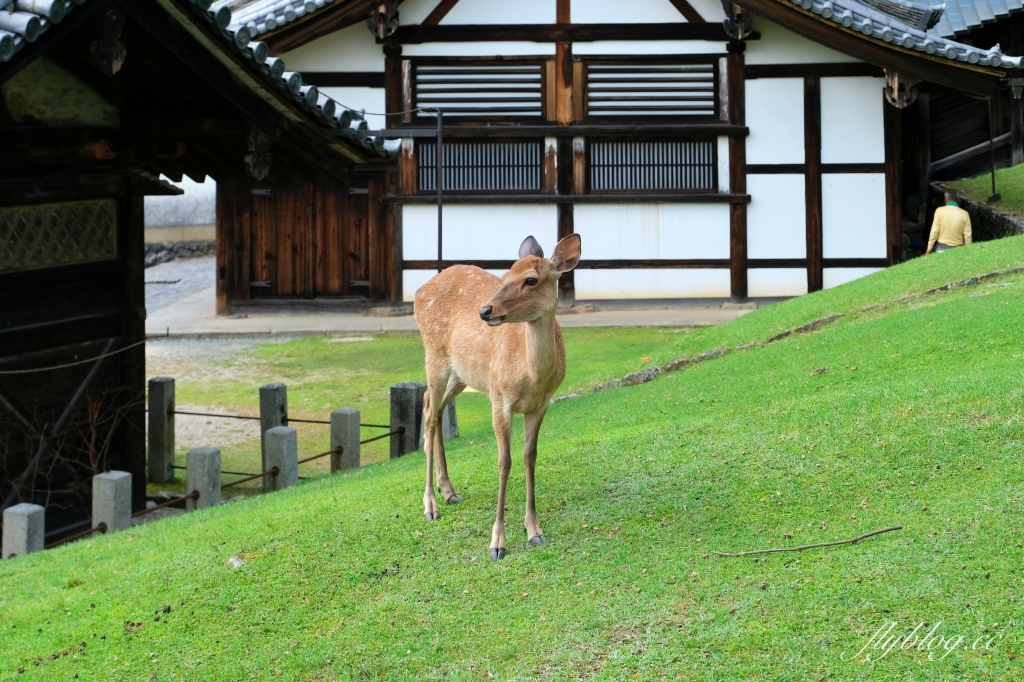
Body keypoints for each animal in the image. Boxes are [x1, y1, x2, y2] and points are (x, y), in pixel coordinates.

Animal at [411, 232, 581, 557]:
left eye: (530, 279)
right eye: (504, 276)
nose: (484, 311)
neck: (533, 377)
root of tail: (417, 292)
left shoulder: (541, 404)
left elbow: (530, 456)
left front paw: (534, 531)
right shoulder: (500, 399)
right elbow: (504, 462)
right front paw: (497, 544)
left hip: (463, 374)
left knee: (432, 406)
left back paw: (449, 490)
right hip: (434, 356)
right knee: (429, 414)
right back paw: (430, 505)